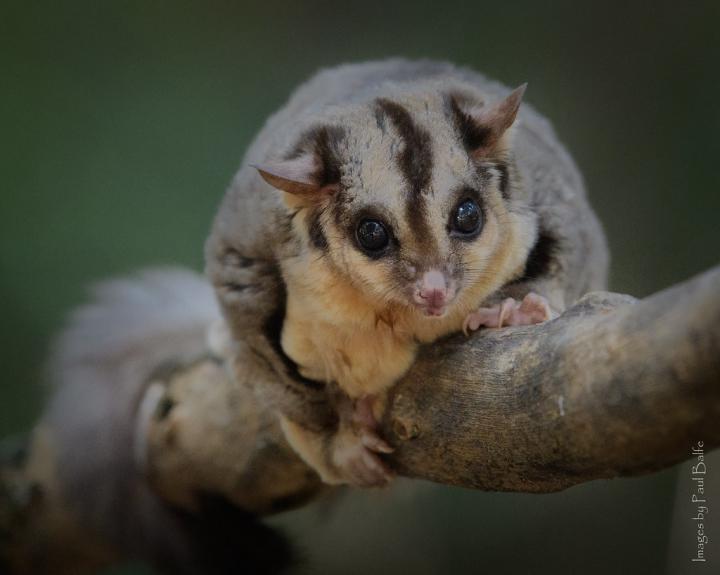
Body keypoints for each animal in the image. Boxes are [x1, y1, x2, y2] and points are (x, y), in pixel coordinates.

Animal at [206, 59, 609, 487]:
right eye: (372, 233)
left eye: (468, 215)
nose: (433, 290)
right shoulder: (247, 243)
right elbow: (266, 358)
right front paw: (343, 438)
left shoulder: (546, 186)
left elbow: (575, 244)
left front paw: (514, 308)